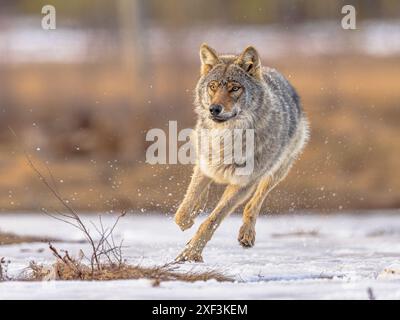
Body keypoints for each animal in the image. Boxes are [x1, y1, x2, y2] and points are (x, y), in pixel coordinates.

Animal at [173, 43, 308, 262]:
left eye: (235, 88)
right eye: (213, 86)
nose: (214, 109)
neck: (227, 138)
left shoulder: (242, 184)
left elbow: (211, 221)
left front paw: (190, 253)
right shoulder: (205, 165)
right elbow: (183, 211)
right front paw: (189, 220)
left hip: (274, 173)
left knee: (254, 204)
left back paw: (247, 234)